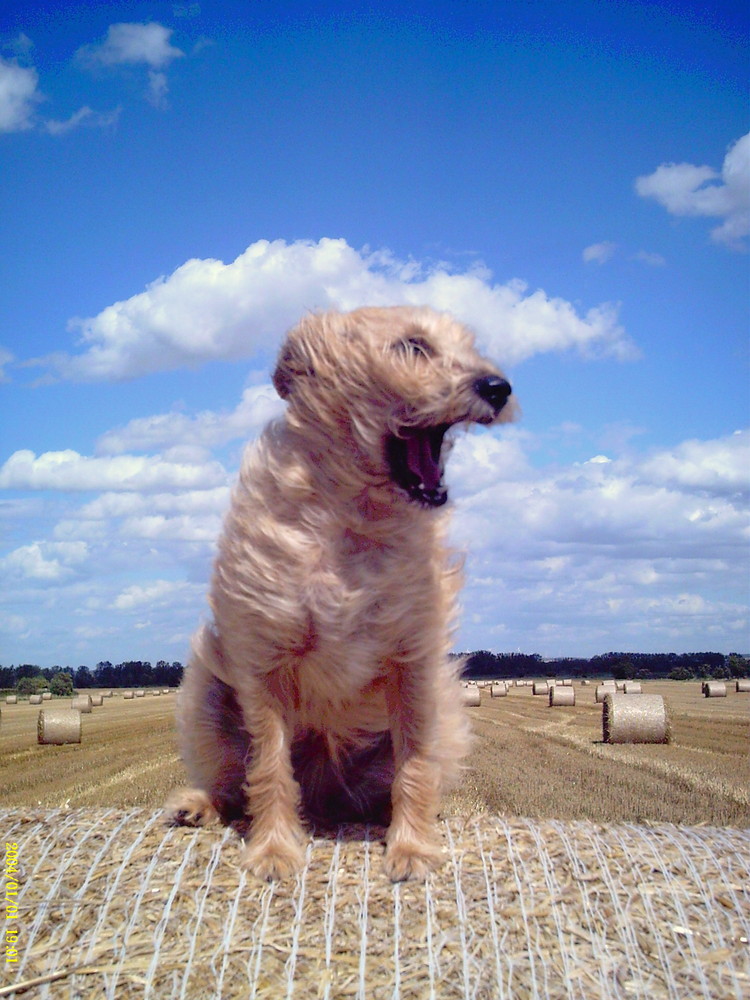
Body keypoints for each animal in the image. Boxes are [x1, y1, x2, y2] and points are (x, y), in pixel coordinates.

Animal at [167, 306, 516, 884]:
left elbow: (414, 768)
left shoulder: (413, 664)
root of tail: (326, 797)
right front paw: (274, 850)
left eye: (470, 346)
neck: (353, 518)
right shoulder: (265, 663)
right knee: (234, 780)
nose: (500, 386)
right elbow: (268, 767)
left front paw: (412, 847)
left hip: (443, 717)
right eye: (412, 346)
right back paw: (199, 804)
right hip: (207, 699)